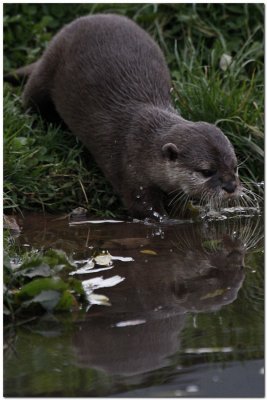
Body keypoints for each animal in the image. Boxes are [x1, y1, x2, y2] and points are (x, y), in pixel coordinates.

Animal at [5, 14, 242, 219]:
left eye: (235, 166)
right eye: (207, 171)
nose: (231, 186)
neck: (146, 144)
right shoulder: (130, 169)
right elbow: (142, 208)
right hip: (50, 66)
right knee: (32, 96)